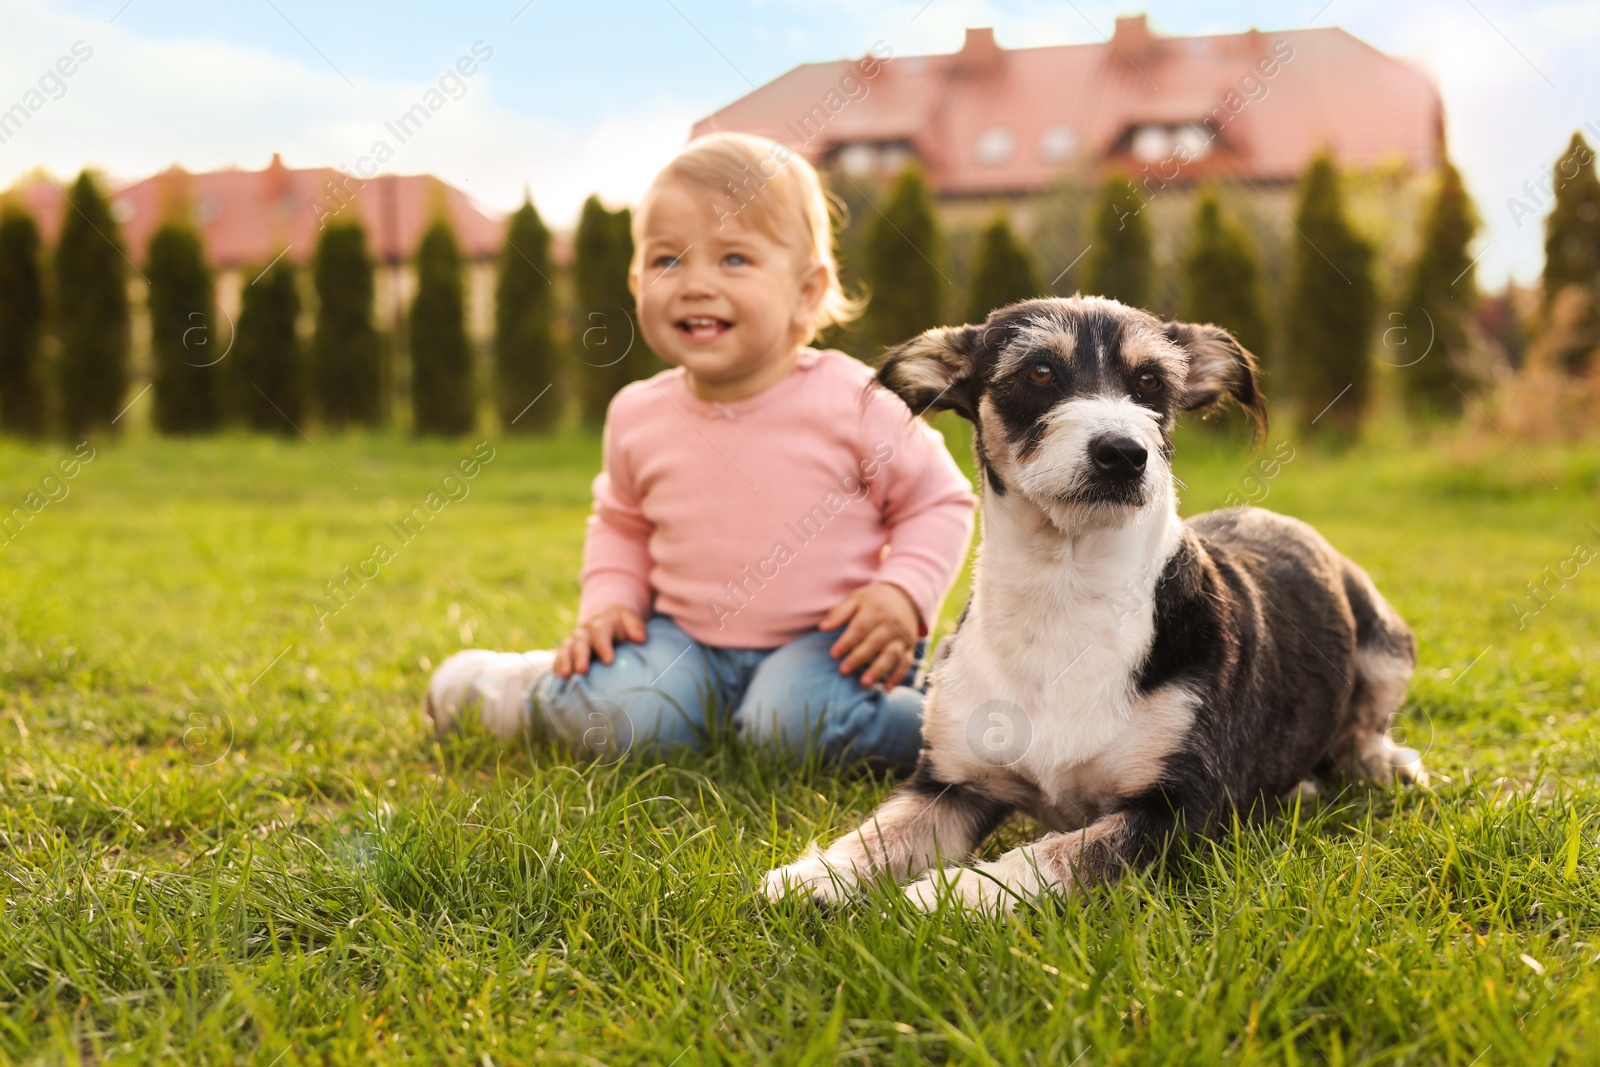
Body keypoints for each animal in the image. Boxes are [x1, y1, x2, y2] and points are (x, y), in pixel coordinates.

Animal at [761, 300, 1427, 921]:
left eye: (1152, 380)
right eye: (1039, 371)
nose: (1123, 452)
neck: (1065, 588)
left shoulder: (1181, 811)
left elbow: (1055, 855)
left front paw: (951, 893)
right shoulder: (951, 783)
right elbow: (882, 831)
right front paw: (815, 875)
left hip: (1387, 645)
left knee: (1365, 728)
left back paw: (1384, 766)